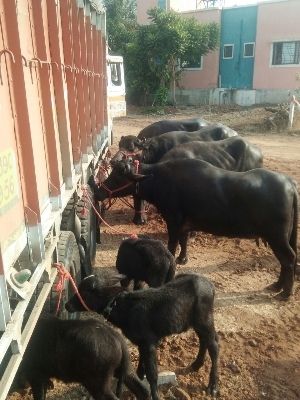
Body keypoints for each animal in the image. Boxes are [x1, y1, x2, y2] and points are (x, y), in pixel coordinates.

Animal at [89, 158, 298, 298]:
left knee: (289, 259)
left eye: (119, 176)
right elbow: (184, 241)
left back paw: (284, 293)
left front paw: (175, 259)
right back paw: (276, 286)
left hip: (277, 237)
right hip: (282, 237)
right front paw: (183, 259)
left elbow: (172, 244)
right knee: (286, 261)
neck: (158, 179)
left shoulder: (173, 220)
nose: (98, 192)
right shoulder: (185, 224)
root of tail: (290, 184)